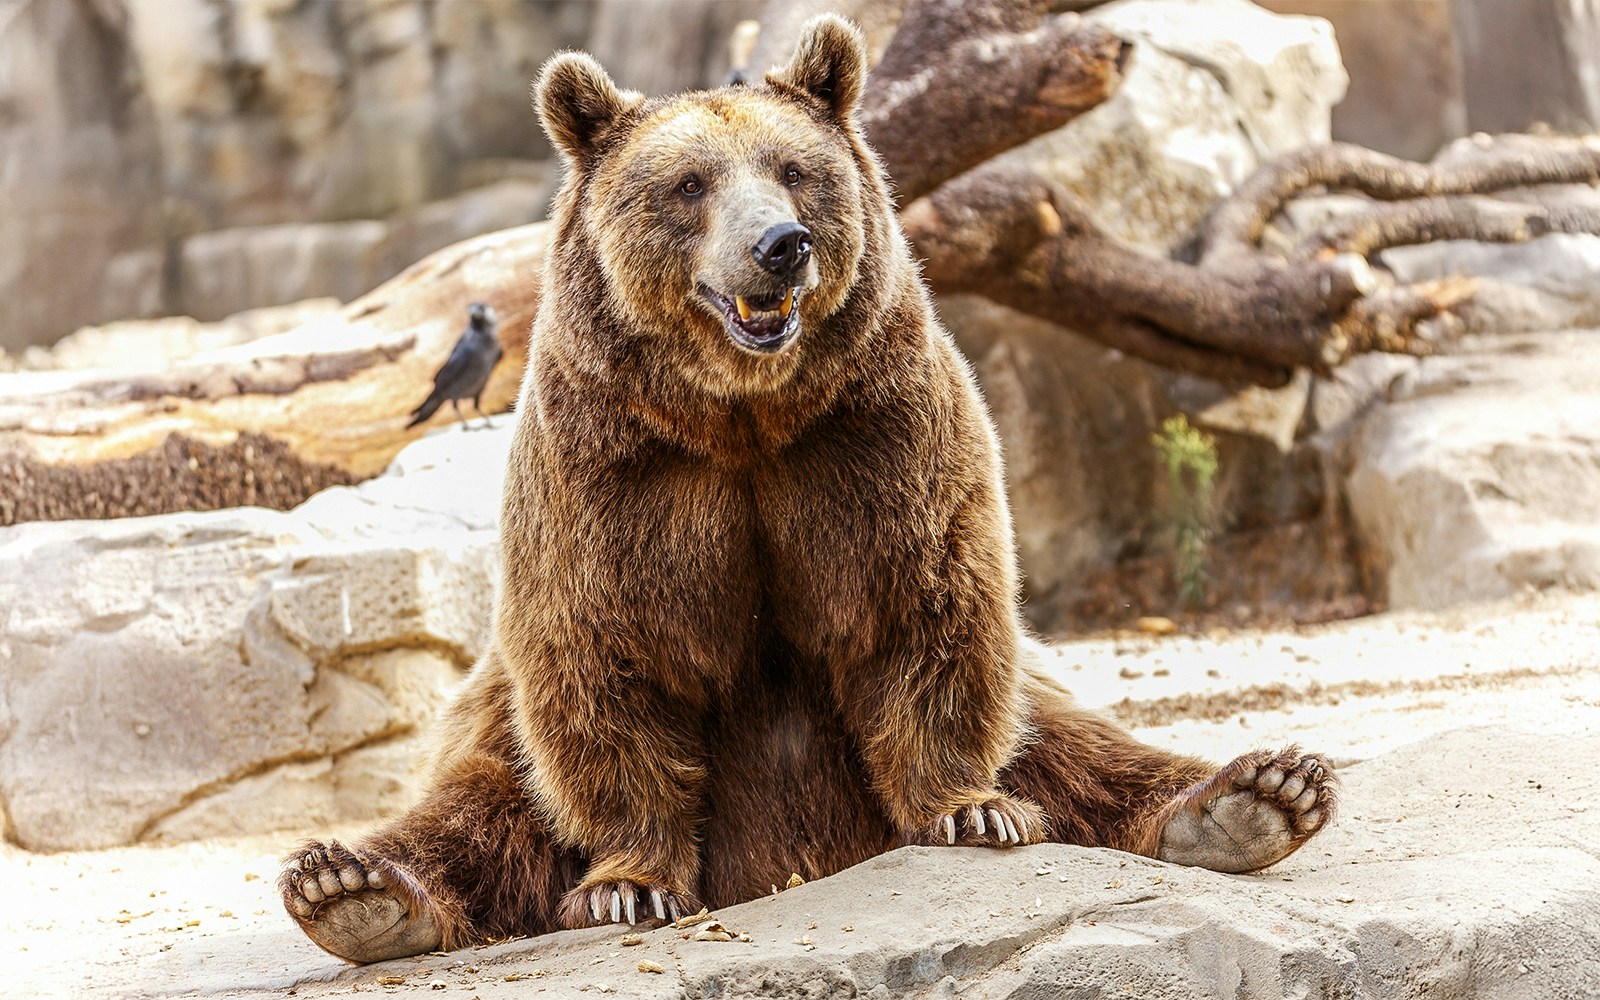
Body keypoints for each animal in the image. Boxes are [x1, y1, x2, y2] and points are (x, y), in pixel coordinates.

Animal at [278, 15, 1337, 966]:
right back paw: (355, 890)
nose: (780, 245)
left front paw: (972, 811)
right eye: (689, 184)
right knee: (474, 808)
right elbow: (608, 650)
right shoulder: (613, 471)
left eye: (793, 170)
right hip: (494, 725)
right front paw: (630, 885)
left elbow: (923, 603)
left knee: (1075, 742)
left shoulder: (872, 436)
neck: (743, 417)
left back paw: (1257, 794)